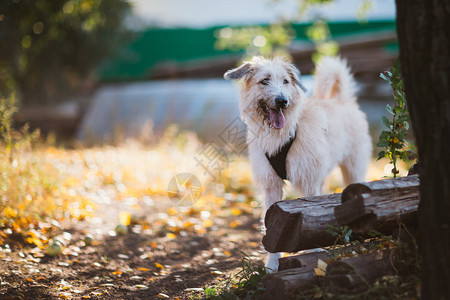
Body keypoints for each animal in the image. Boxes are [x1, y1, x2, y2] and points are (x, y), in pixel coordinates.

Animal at [223, 56, 370, 272]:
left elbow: (313, 217)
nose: (282, 101)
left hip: (353, 169)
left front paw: (314, 256)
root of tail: (341, 100)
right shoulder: (272, 186)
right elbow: (270, 225)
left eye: (285, 81)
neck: (283, 134)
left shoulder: (309, 182)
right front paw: (272, 265)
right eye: (264, 81)